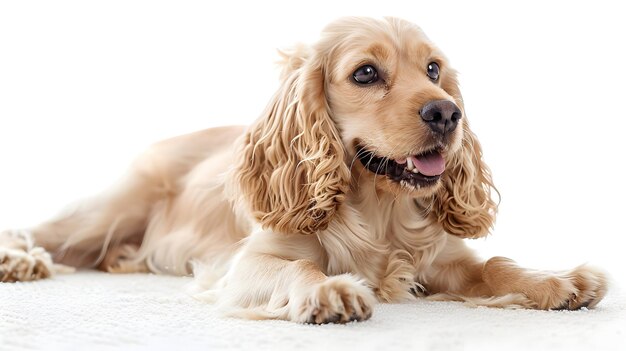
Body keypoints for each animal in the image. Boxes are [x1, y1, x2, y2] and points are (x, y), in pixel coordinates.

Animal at [0, 17, 604, 324]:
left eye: (434, 70)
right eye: (366, 73)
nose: (447, 113)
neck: (378, 210)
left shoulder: (445, 260)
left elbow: (497, 266)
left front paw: (555, 280)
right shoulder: (250, 263)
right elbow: (299, 268)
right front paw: (331, 291)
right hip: (107, 212)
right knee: (39, 230)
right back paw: (20, 260)